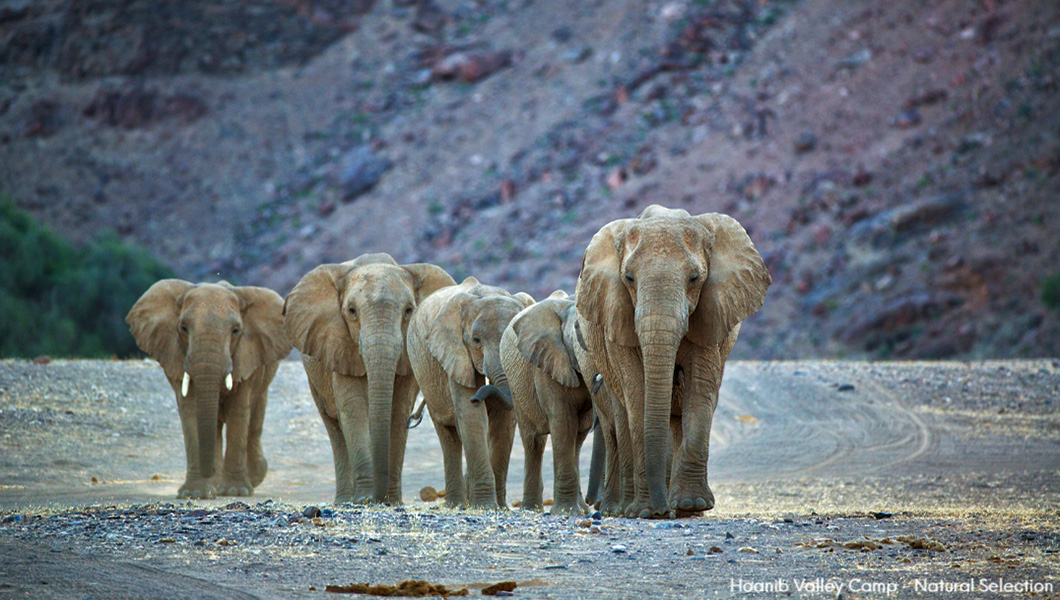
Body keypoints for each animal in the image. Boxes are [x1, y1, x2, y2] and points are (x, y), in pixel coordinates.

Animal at [125, 279, 290, 500]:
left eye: (236, 330)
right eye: (183, 328)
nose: (207, 472)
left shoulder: (246, 356)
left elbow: (238, 412)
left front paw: (235, 491)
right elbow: (191, 413)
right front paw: (196, 493)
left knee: (254, 421)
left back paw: (252, 477)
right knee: (217, 426)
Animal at [284, 251, 457, 506]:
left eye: (409, 310)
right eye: (351, 311)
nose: (378, 498)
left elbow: (399, 410)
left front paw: (392, 501)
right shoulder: (339, 344)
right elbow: (354, 408)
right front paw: (364, 499)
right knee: (334, 427)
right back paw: (344, 501)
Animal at [407, 277, 534, 508]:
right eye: (476, 340)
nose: (478, 398)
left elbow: (503, 422)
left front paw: (500, 508)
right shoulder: (454, 351)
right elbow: (471, 416)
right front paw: (485, 505)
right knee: (448, 436)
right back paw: (455, 504)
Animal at [498, 292, 597, 517]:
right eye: (577, 331)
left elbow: (577, 428)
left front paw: (575, 511)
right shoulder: (546, 364)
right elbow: (563, 422)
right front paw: (567, 512)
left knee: (578, 437)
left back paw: (581, 509)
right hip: (517, 385)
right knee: (533, 441)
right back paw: (531, 509)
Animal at [576, 205, 767, 517]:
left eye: (694, 278)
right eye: (629, 278)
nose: (661, 510)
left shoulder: (712, 314)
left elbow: (700, 391)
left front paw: (692, 505)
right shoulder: (616, 317)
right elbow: (637, 392)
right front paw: (645, 512)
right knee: (622, 414)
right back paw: (628, 508)